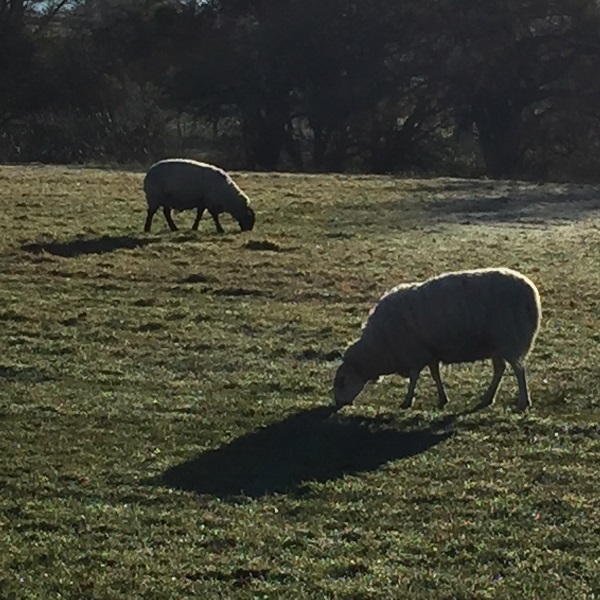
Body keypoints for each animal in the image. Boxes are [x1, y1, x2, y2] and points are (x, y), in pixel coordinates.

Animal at [336, 268, 540, 412]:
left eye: (343, 380)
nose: (337, 404)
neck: (381, 344)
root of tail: (532, 292)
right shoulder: (429, 352)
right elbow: (435, 375)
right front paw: (442, 398)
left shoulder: (415, 353)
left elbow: (414, 378)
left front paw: (407, 401)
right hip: (496, 344)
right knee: (500, 369)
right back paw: (487, 398)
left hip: (510, 338)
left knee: (519, 370)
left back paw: (523, 402)